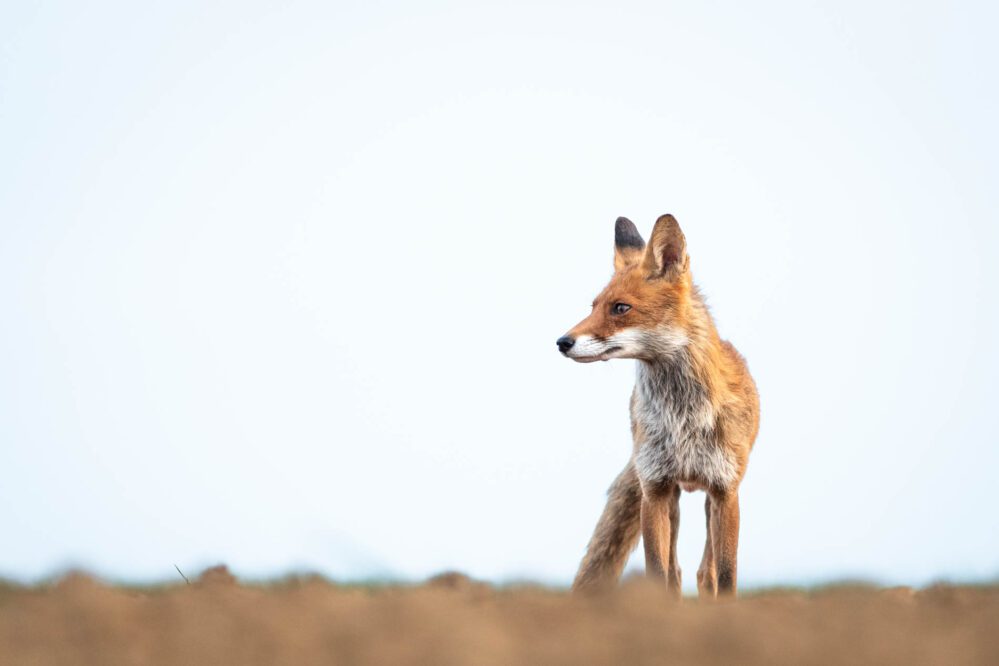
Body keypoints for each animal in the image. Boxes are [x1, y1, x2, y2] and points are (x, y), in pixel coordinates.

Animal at [560, 215, 760, 600]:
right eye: (593, 306)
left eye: (620, 308)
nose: (562, 342)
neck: (682, 418)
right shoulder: (654, 489)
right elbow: (659, 572)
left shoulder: (726, 491)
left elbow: (726, 575)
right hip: (671, 499)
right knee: (678, 572)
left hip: (710, 501)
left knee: (705, 573)